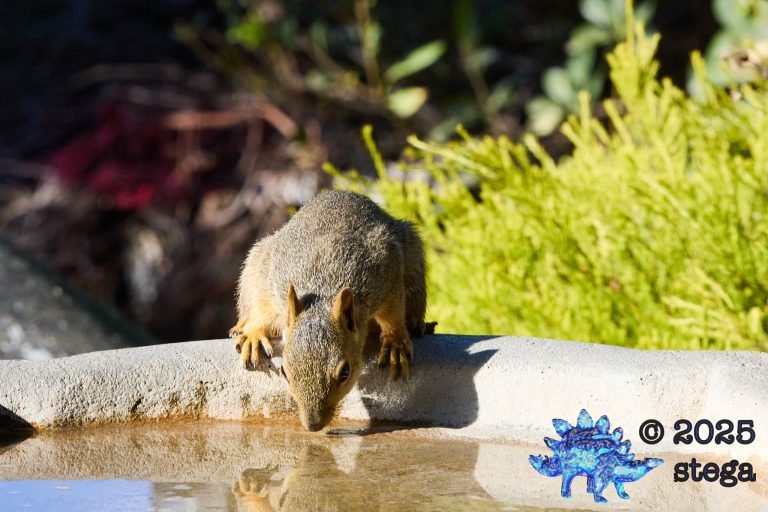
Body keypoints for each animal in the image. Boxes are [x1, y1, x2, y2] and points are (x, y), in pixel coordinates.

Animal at [230, 190, 429, 431]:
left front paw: (395, 342)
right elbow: (262, 305)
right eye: (284, 371)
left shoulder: (386, 270)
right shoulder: (272, 274)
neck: (323, 290)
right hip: (256, 260)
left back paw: (418, 324)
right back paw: (241, 327)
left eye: (345, 372)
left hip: (413, 258)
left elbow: (393, 311)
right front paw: (254, 335)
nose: (312, 425)